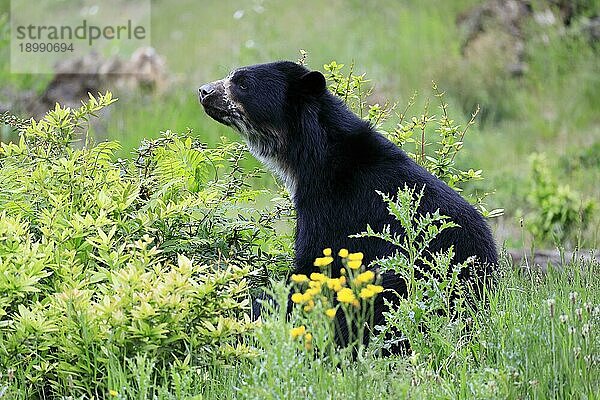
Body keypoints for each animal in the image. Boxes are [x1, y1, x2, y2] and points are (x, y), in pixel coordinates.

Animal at [197, 60, 496, 350]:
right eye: (231, 76)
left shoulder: (334, 205)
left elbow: (313, 263)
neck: (310, 157)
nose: (204, 91)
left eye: (243, 84)